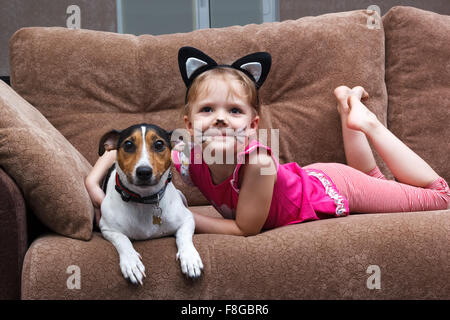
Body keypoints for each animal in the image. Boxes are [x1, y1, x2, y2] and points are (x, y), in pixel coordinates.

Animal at [100, 123, 204, 284]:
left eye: (159, 144)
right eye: (128, 144)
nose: (144, 171)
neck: (144, 200)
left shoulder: (187, 219)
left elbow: (183, 236)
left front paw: (189, 257)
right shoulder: (107, 229)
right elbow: (123, 240)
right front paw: (131, 262)